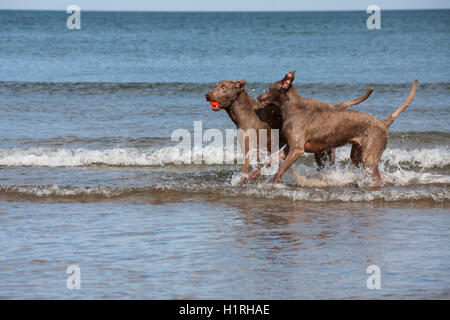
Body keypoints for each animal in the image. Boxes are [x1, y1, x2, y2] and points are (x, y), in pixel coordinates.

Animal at [206, 80, 374, 182]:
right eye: (216, 85)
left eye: (223, 87)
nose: (207, 95)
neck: (244, 112)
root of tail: (333, 107)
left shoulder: (251, 149)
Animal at [256, 70, 418, 185]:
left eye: (269, 88)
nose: (258, 97)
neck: (293, 108)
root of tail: (383, 122)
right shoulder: (288, 149)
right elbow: (269, 161)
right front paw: (255, 174)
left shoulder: (297, 149)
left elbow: (280, 170)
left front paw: (273, 184)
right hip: (358, 156)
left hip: (369, 158)